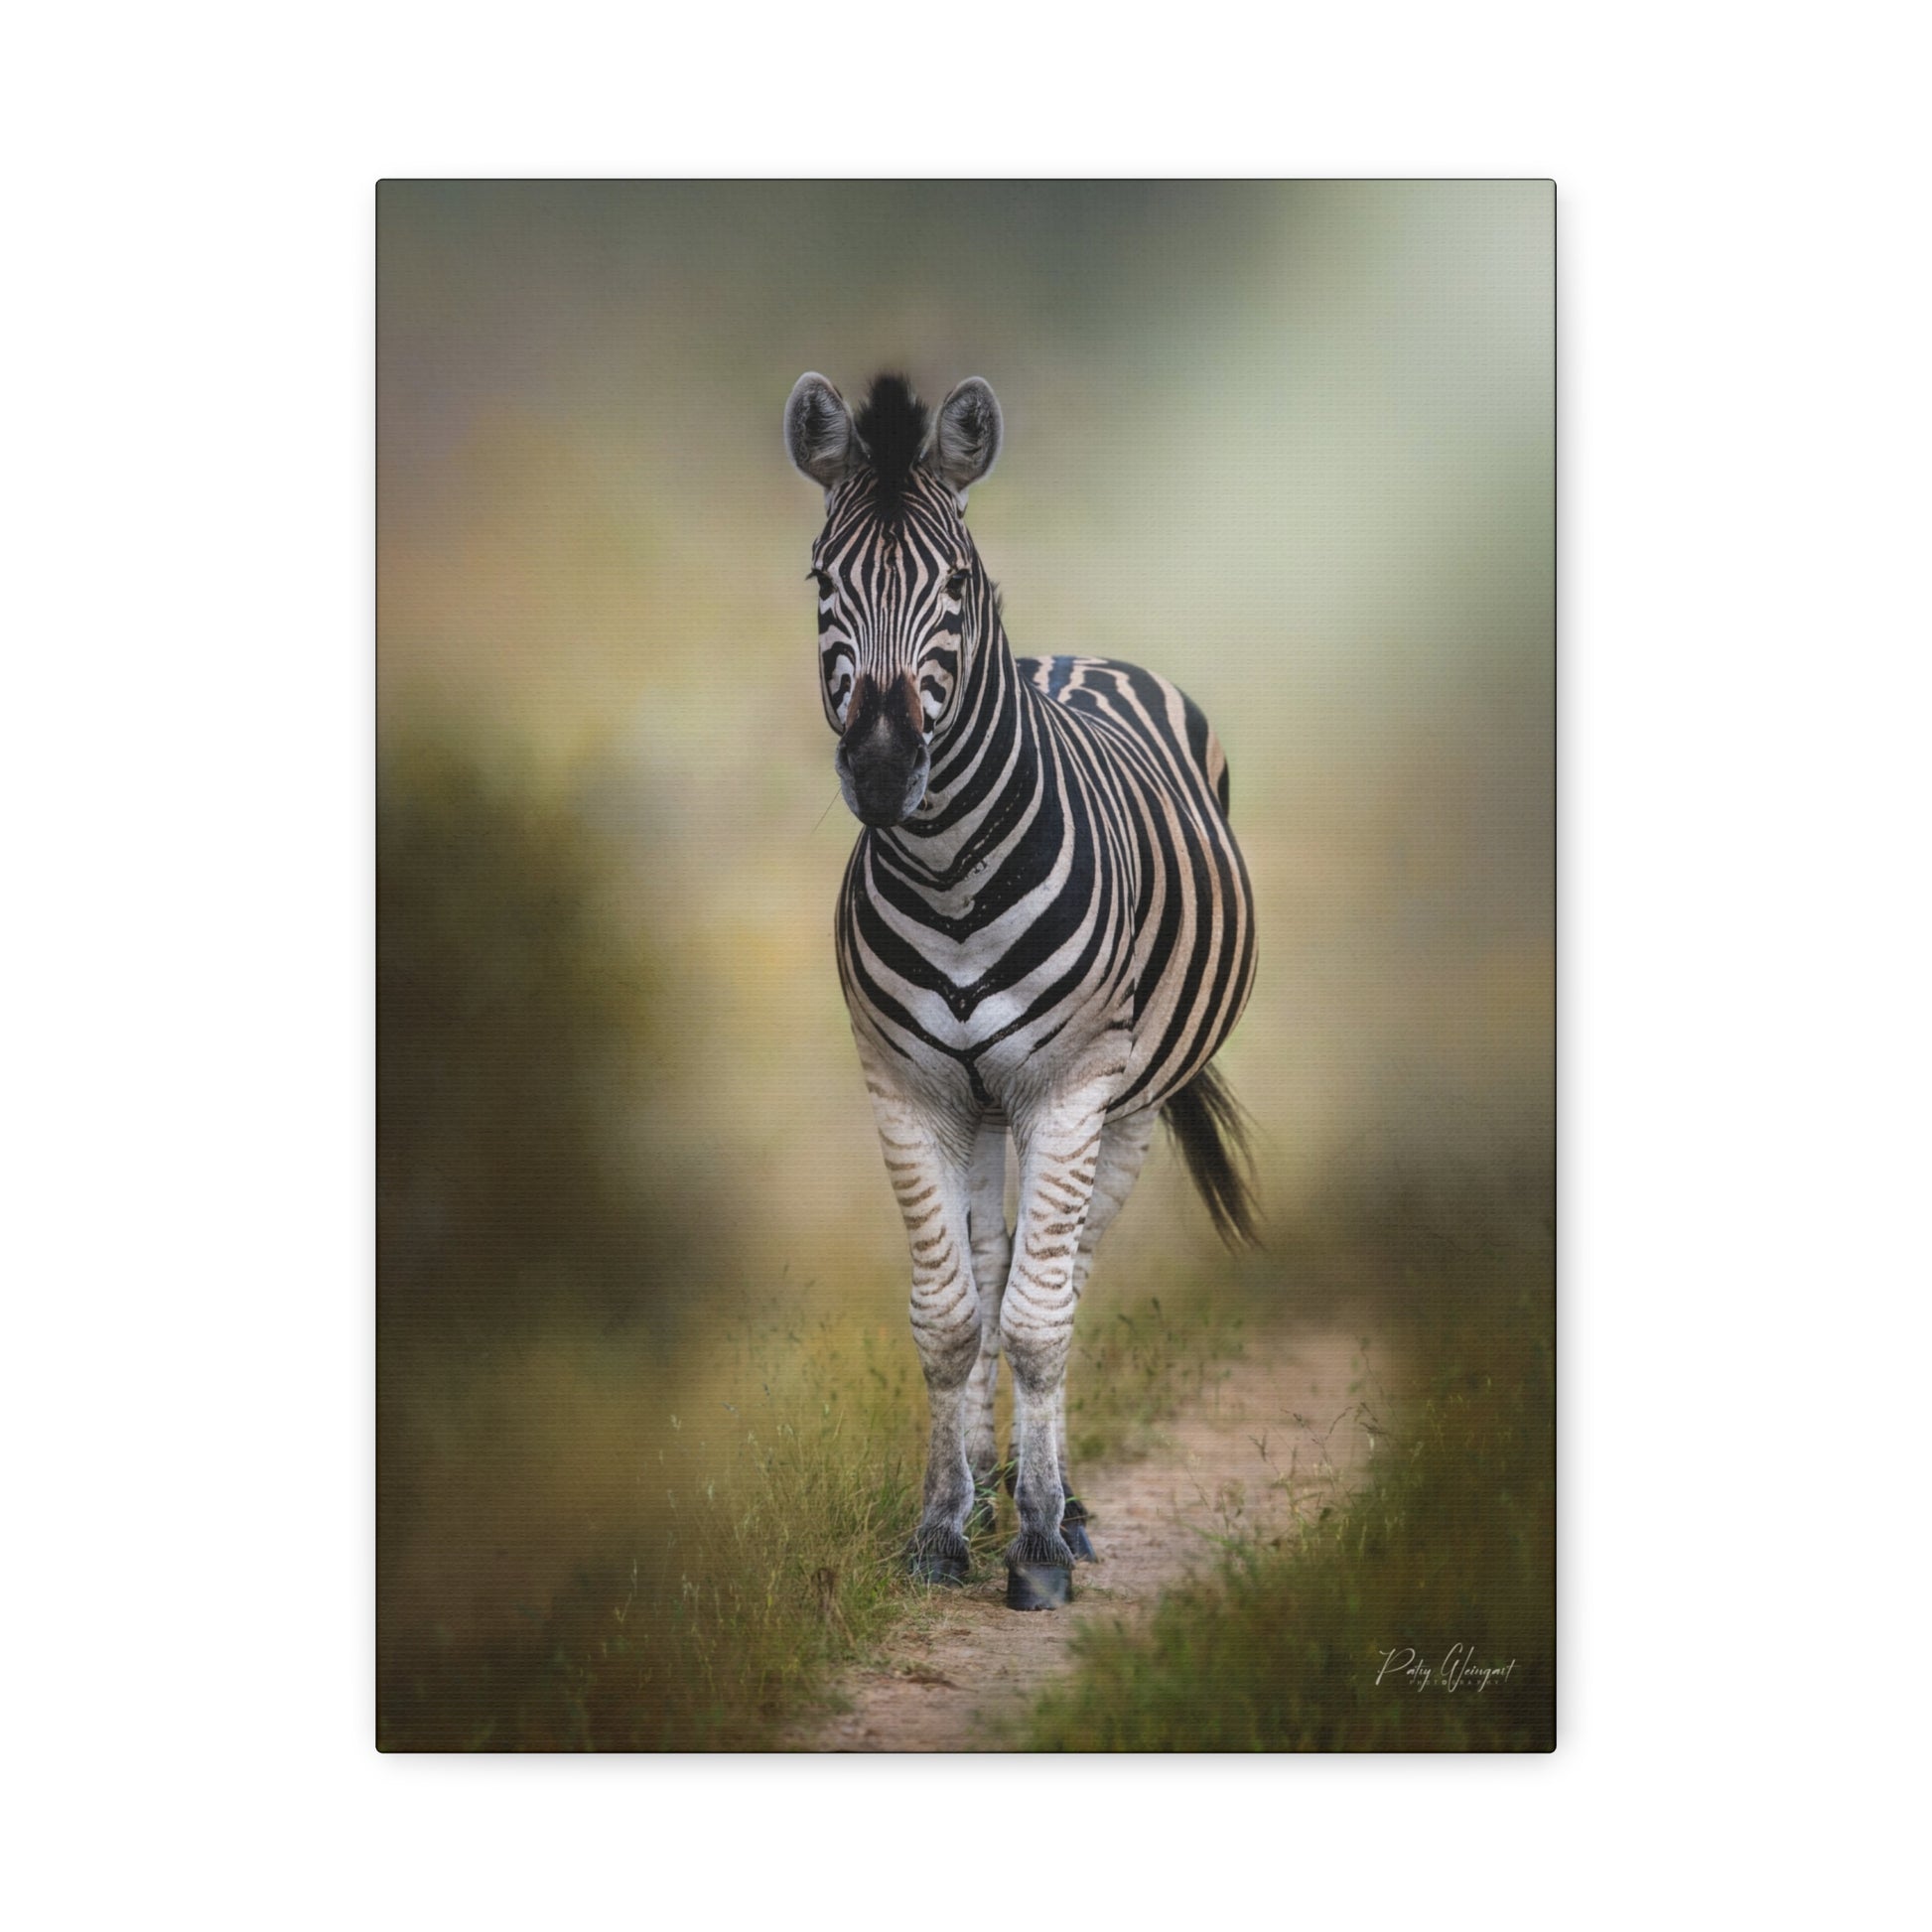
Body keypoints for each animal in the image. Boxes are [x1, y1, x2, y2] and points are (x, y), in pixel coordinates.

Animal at [784, 371, 1259, 1610]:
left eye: (955, 584)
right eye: (820, 580)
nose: (883, 771)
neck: (952, 870)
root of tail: (1075, 655)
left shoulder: (1068, 1085)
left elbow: (1040, 1320)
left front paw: (1039, 1543)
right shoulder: (907, 1090)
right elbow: (953, 1317)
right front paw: (941, 1525)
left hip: (1125, 1103)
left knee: (1065, 1275)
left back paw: (1061, 1508)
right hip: (986, 1106)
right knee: (993, 1275)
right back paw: (995, 1492)